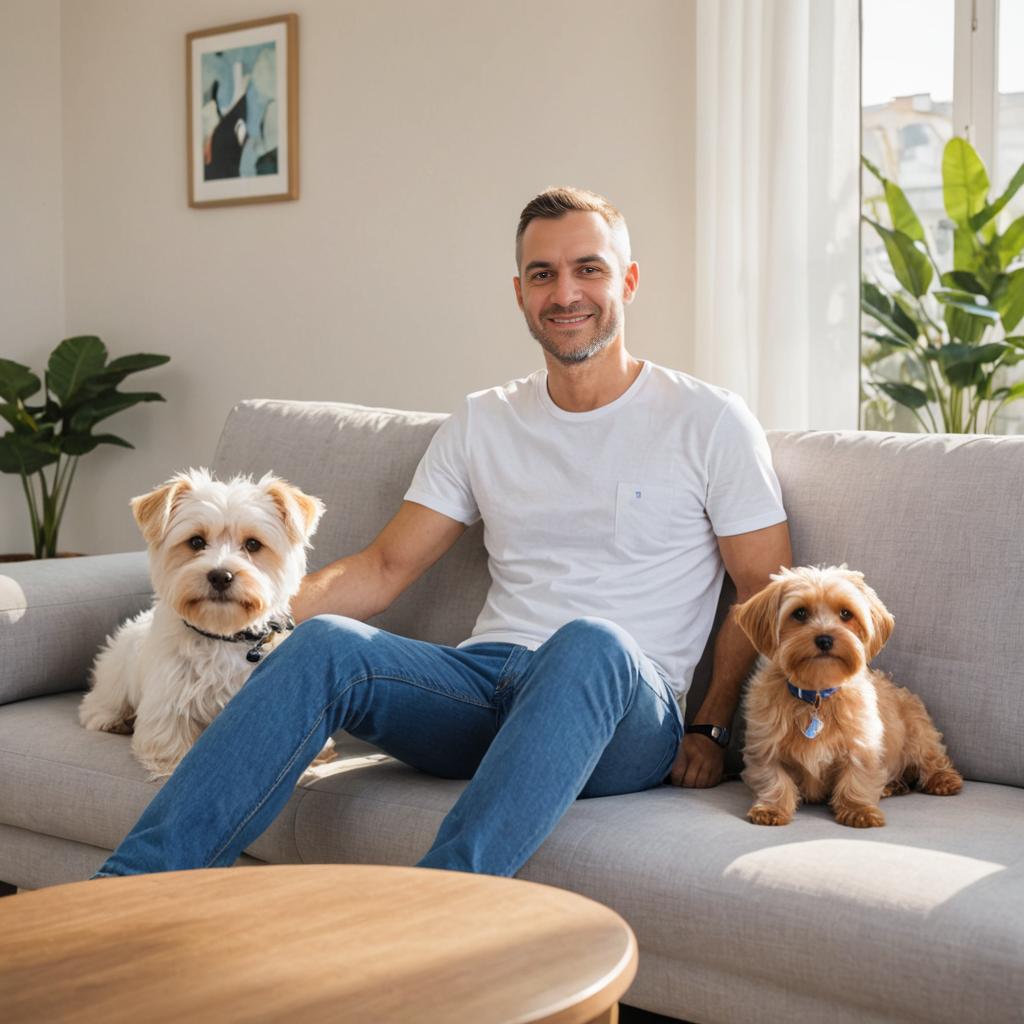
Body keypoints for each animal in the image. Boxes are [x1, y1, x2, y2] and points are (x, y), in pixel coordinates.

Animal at [81, 468, 325, 774]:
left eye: (253, 544)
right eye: (196, 541)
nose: (220, 576)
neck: (222, 634)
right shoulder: (168, 703)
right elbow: (173, 747)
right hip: (116, 676)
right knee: (97, 702)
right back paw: (111, 719)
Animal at [737, 565, 958, 827]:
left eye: (845, 613)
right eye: (799, 613)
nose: (824, 639)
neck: (817, 695)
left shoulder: (862, 744)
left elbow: (857, 777)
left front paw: (858, 810)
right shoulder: (764, 744)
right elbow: (773, 778)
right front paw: (771, 808)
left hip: (919, 734)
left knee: (933, 759)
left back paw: (942, 780)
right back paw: (893, 785)